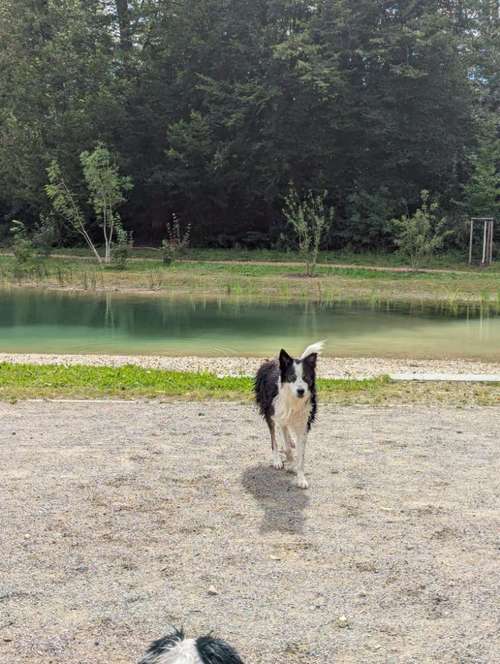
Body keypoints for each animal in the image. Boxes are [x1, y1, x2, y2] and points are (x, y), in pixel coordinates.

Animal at [254, 342, 324, 488]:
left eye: (306, 378)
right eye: (292, 378)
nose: (301, 391)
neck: (294, 401)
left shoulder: (303, 424)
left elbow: (301, 456)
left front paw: (301, 478)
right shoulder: (280, 418)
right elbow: (286, 447)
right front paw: (290, 464)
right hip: (269, 411)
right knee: (274, 437)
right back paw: (277, 460)